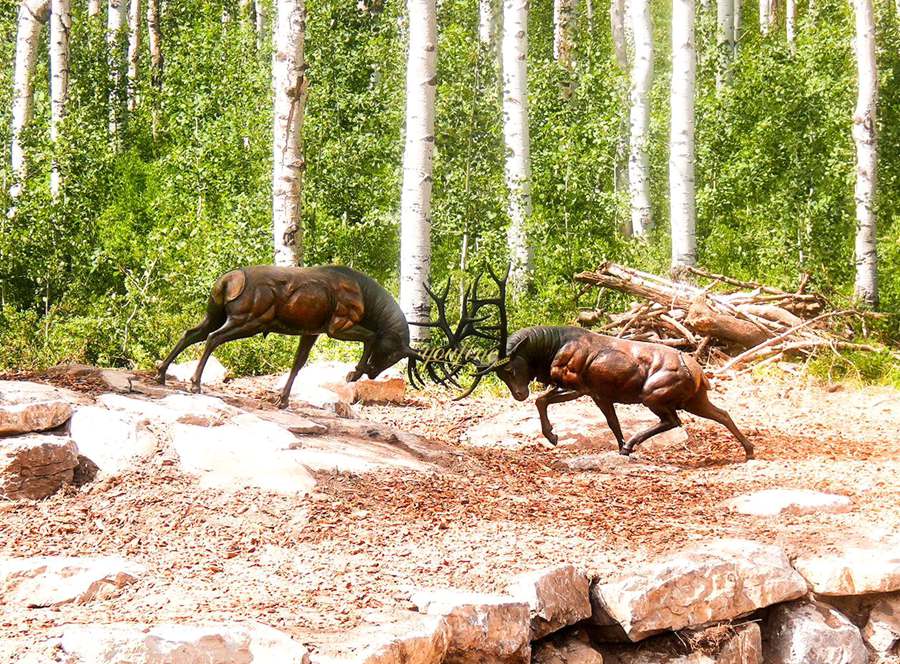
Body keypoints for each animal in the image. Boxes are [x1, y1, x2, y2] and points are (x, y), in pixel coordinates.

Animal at [157, 265, 420, 408]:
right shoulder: (337, 326)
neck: (370, 305)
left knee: (191, 333)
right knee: (213, 338)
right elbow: (371, 337)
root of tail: (226, 282)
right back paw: (194, 383)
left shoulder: (312, 331)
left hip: (216, 314)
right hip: (249, 319)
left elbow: (297, 364)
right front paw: (354, 372)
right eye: (392, 353)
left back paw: (161, 374)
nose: (374, 373)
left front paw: (282, 400)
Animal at [418, 273, 754, 460]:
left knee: (674, 421)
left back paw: (634, 444)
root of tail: (697, 372)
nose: (518, 395)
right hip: (693, 398)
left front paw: (553, 437)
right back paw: (749, 451)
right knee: (721, 413)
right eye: (500, 376)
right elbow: (612, 423)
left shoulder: (579, 385)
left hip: (654, 394)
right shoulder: (599, 394)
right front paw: (618, 445)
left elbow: (543, 399)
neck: (550, 351)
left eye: (511, 369)